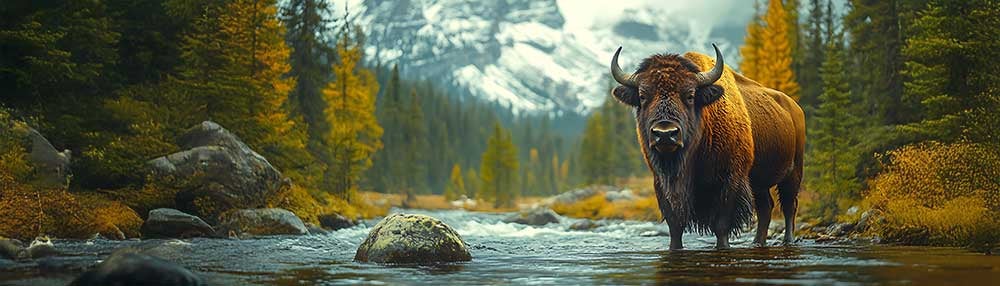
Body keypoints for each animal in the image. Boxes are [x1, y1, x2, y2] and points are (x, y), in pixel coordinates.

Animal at [608, 44, 804, 248]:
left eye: (690, 95)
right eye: (642, 96)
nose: (665, 133)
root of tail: (795, 107)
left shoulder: (730, 180)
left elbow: (721, 224)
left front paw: (723, 247)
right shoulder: (662, 184)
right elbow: (675, 226)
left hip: (793, 171)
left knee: (789, 205)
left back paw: (788, 241)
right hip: (759, 182)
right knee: (766, 207)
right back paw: (757, 243)